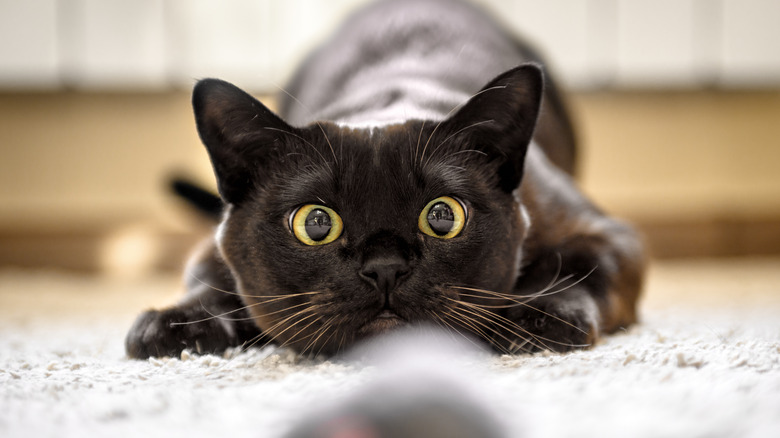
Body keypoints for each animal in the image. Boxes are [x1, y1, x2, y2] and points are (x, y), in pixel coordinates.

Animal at [125, 0, 644, 360]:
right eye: (315, 223)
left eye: (442, 217)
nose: (385, 268)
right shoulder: (211, 244)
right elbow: (207, 279)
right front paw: (173, 326)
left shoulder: (606, 233)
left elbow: (575, 269)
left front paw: (535, 317)